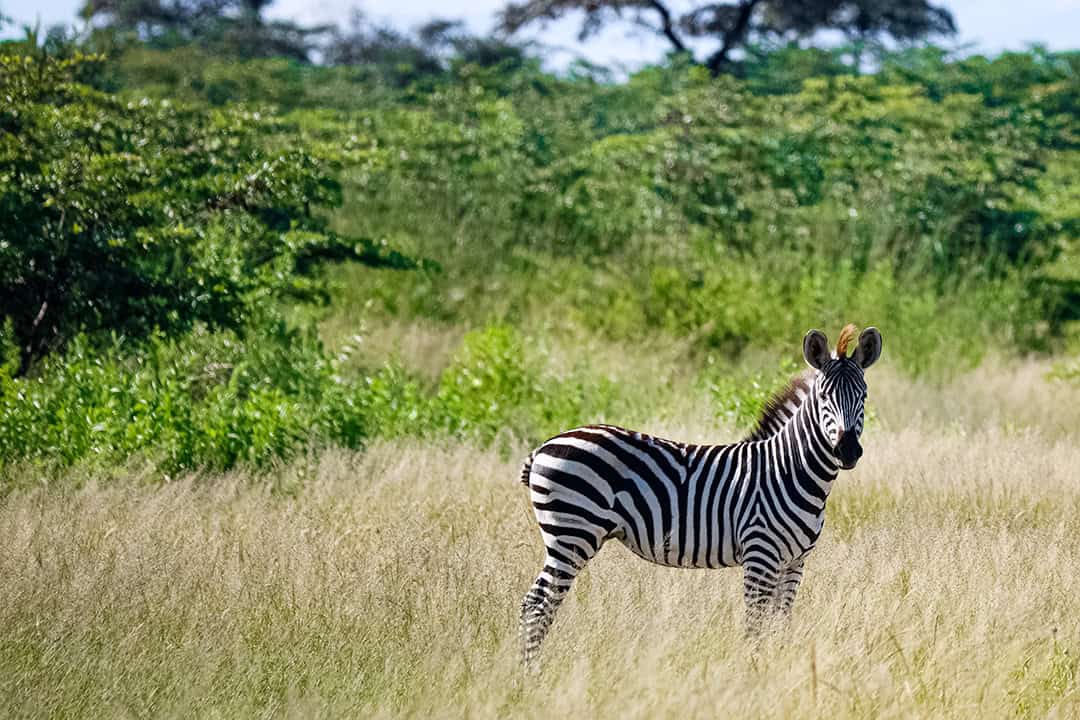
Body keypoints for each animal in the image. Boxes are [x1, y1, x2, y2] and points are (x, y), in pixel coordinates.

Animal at [517, 325, 882, 665]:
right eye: (824, 398)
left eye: (863, 396)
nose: (848, 451)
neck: (790, 470)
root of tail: (544, 446)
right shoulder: (760, 554)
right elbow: (755, 624)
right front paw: (753, 672)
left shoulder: (795, 561)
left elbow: (779, 623)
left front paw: (776, 666)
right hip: (572, 535)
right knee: (536, 605)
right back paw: (529, 674)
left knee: (538, 604)